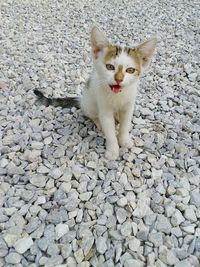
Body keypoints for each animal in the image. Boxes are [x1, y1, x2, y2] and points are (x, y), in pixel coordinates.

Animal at [34, 26, 156, 161]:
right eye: (110, 67)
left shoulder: (129, 105)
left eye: (130, 70)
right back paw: (98, 122)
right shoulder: (104, 109)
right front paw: (113, 150)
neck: (117, 96)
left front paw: (125, 140)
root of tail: (81, 99)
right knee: (92, 115)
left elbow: (125, 125)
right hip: (90, 104)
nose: (118, 79)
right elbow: (109, 131)